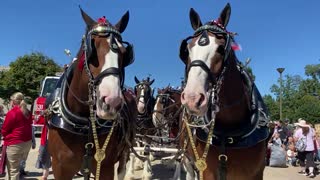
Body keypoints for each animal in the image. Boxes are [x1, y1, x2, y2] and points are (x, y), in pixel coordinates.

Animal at [45, 7, 136, 179]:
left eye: (124, 53)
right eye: (91, 49)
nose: (112, 102)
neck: (84, 125)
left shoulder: (105, 167)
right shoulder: (60, 168)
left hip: (126, 148)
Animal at [179, 3, 268, 180]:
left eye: (221, 49)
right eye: (187, 50)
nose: (192, 98)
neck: (228, 134)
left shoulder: (256, 173)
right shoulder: (206, 171)